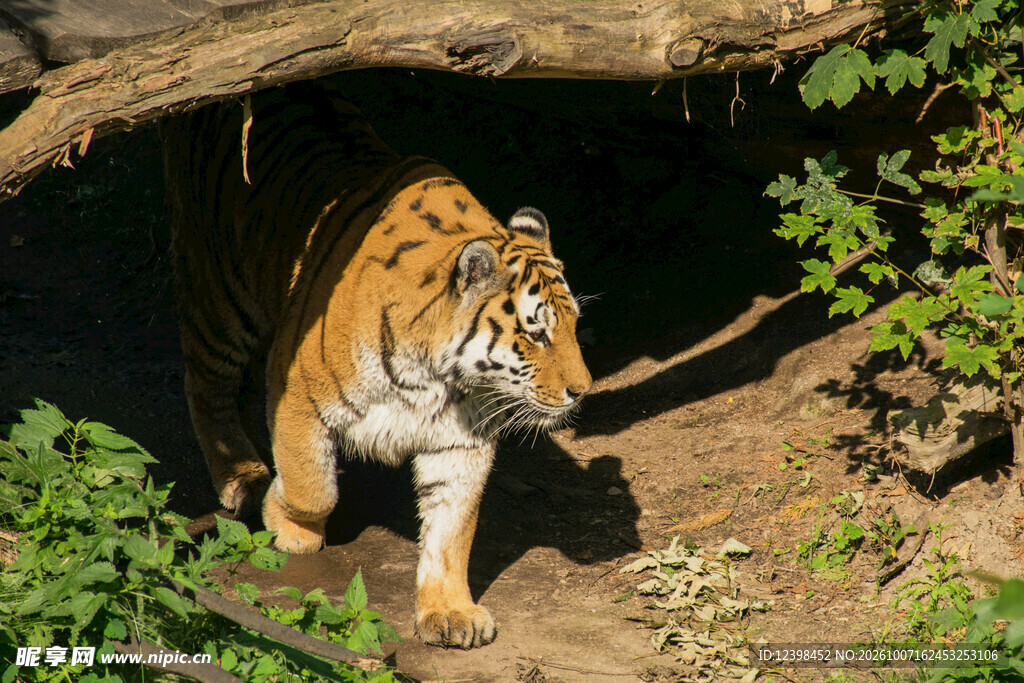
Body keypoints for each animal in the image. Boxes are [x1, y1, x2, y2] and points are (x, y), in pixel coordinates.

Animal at [160, 80, 592, 649]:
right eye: (536, 332)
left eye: (574, 325)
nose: (584, 390)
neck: (438, 378)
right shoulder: (296, 391)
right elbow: (313, 486)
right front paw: (288, 525)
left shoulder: (460, 442)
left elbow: (451, 531)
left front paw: (450, 612)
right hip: (221, 293)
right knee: (204, 382)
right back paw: (244, 477)